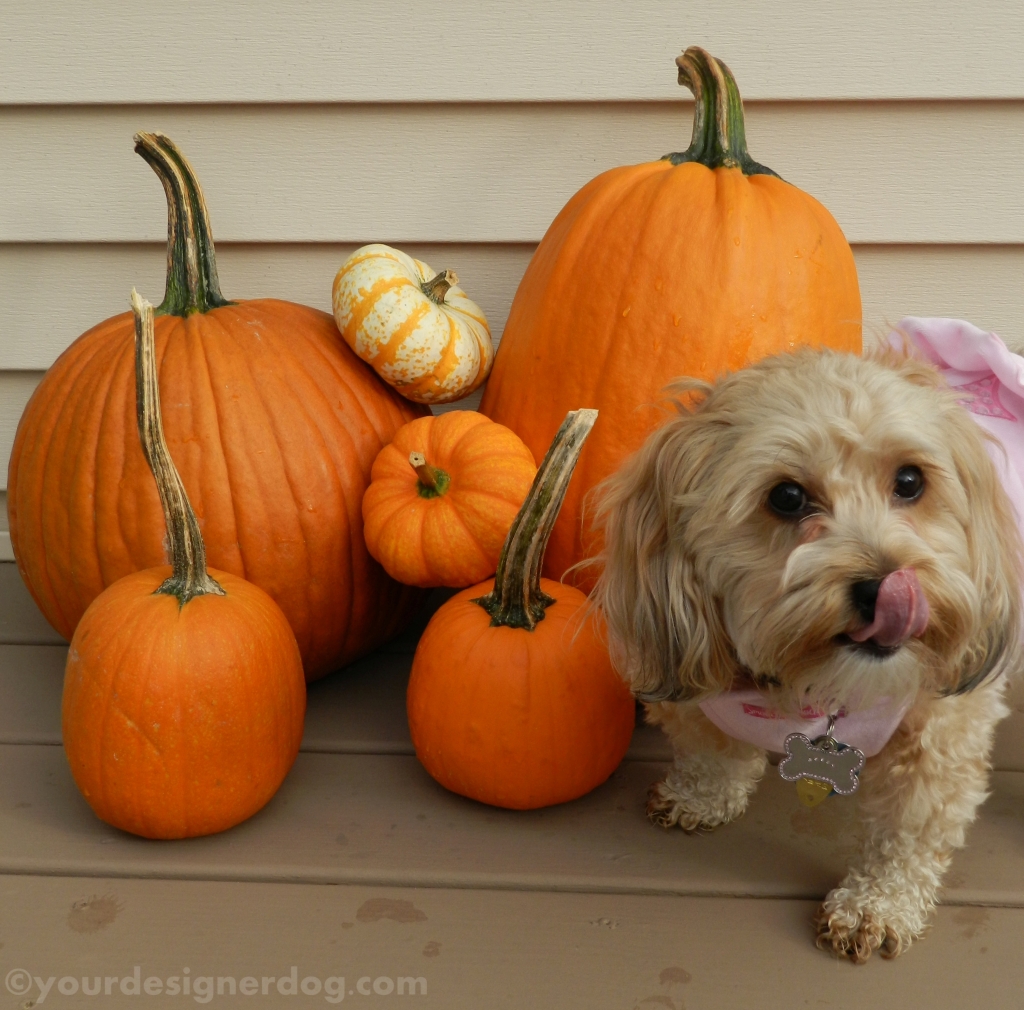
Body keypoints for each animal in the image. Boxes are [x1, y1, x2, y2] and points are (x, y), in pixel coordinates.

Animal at [593, 346, 1024, 958]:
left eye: (910, 480)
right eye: (787, 496)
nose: (884, 586)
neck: (818, 687)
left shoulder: (943, 728)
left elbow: (908, 829)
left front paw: (874, 907)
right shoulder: (698, 685)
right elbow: (712, 752)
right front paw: (700, 797)